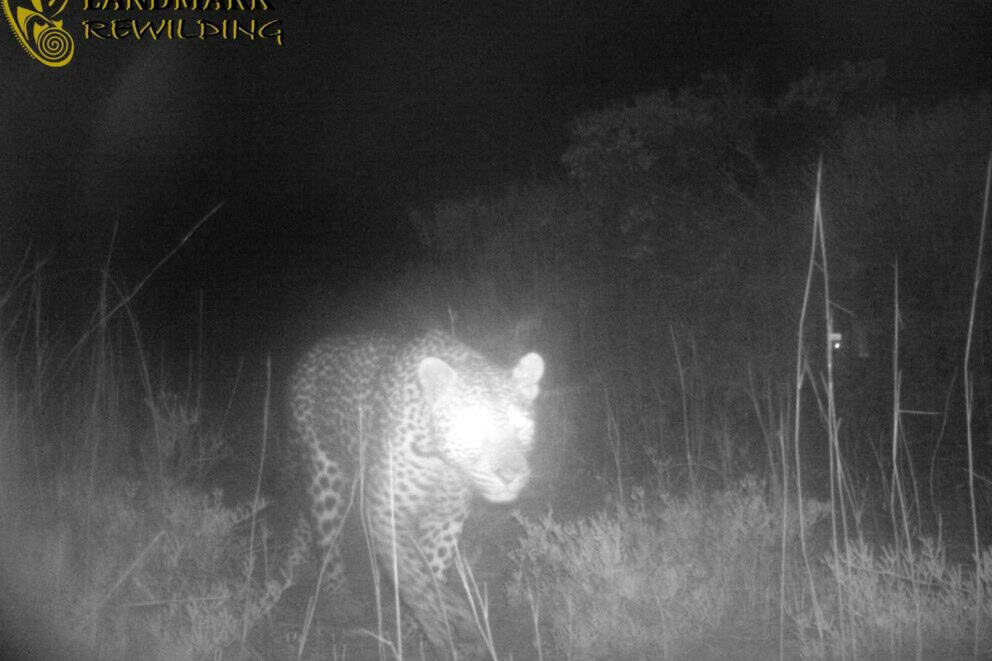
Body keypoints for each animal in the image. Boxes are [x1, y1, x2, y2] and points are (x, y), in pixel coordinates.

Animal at [282, 330, 544, 655]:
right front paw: (450, 626)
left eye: (521, 427)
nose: (510, 475)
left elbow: (431, 569)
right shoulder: (386, 512)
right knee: (326, 536)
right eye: (471, 427)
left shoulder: (446, 519)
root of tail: (313, 352)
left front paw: (417, 628)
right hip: (323, 469)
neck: (443, 463)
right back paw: (340, 600)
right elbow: (414, 577)